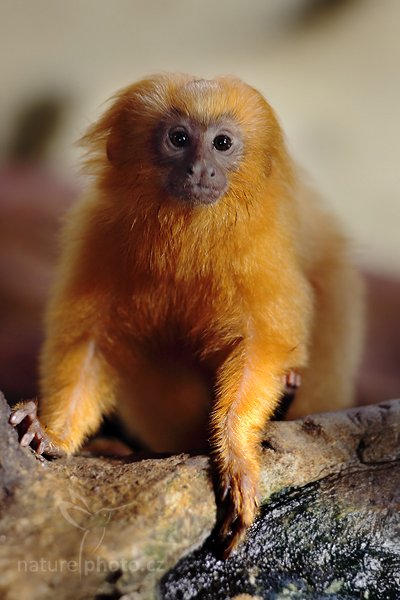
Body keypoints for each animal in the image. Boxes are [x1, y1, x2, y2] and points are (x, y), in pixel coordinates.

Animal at [10, 75, 366, 556]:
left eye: (221, 143)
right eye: (178, 139)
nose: (200, 169)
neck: (188, 233)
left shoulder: (264, 248)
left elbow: (262, 345)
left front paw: (236, 450)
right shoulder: (103, 239)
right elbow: (90, 348)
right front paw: (54, 432)